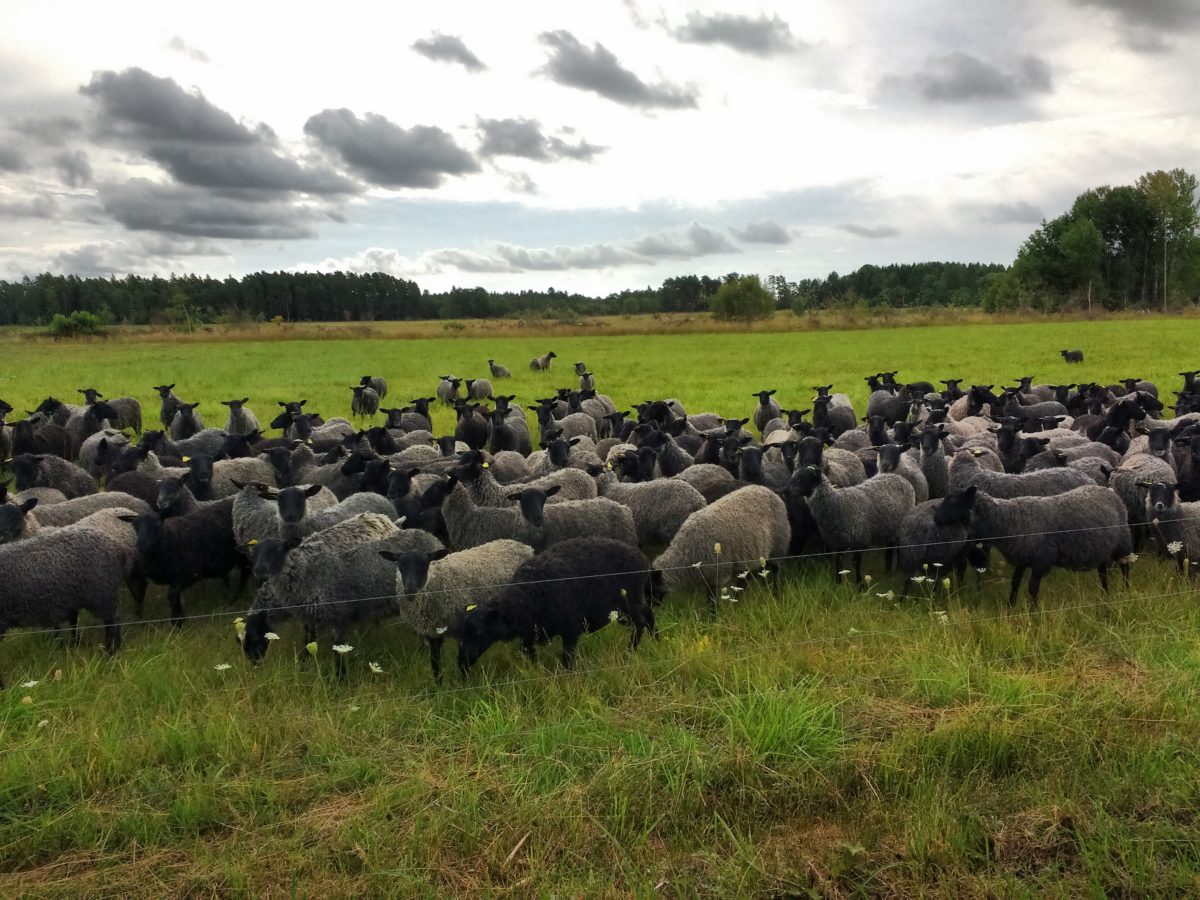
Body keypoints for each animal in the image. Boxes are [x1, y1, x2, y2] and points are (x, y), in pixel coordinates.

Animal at [379, 540, 530, 681]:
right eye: (400, 565)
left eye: (425, 565)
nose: (409, 590)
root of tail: (520, 544)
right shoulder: (431, 632)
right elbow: (435, 665)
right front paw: (439, 686)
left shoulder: (462, 627)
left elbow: (462, 661)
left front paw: (464, 684)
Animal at [964, 487, 1132, 607]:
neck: (1010, 520)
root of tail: (1109, 490)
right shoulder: (1022, 559)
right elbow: (1015, 582)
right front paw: (1010, 607)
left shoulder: (1041, 561)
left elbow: (1032, 589)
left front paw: (1033, 613)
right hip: (1102, 547)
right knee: (1103, 571)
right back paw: (1105, 595)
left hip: (1122, 541)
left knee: (1125, 567)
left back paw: (1125, 592)